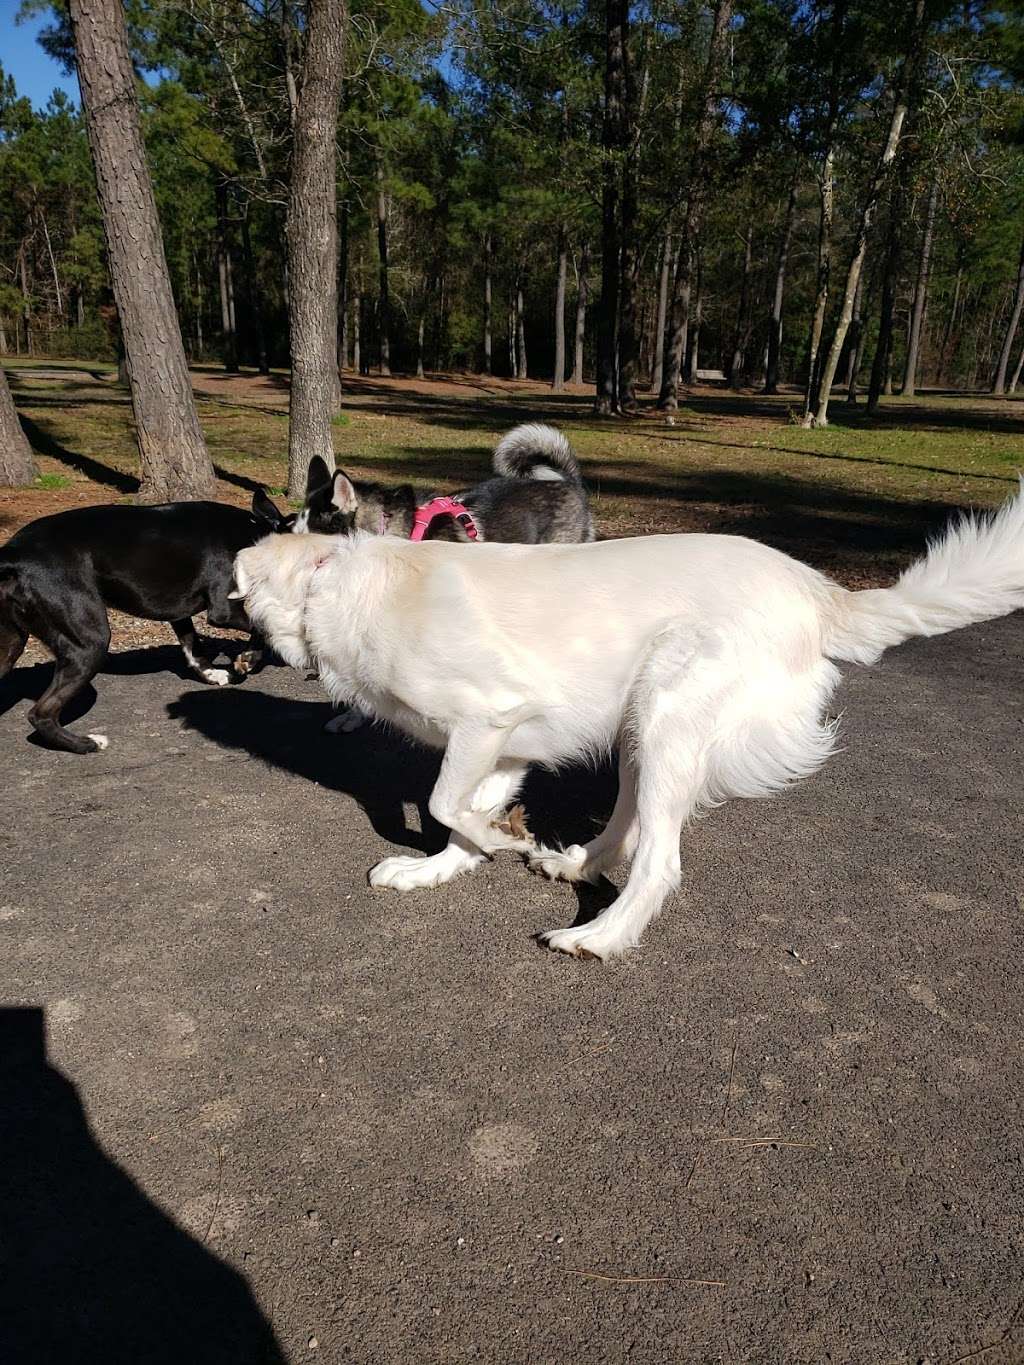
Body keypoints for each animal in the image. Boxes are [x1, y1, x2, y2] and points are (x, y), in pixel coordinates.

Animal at [0, 488, 292, 753]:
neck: (254, 532)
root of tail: (12, 554)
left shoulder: (180, 613)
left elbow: (192, 645)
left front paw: (212, 673)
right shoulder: (224, 609)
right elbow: (262, 626)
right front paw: (249, 659)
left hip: (11, 646)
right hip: (89, 643)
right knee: (40, 713)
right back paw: (86, 744)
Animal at [232, 480, 1024, 960]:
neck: (334, 580)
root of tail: (816, 589)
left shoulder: (485, 721)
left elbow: (442, 802)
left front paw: (496, 840)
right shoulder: (507, 742)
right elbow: (457, 816)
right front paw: (447, 865)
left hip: (667, 714)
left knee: (659, 859)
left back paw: (601, 933)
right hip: (638, 727)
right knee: (629, 825)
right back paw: (574, 862)